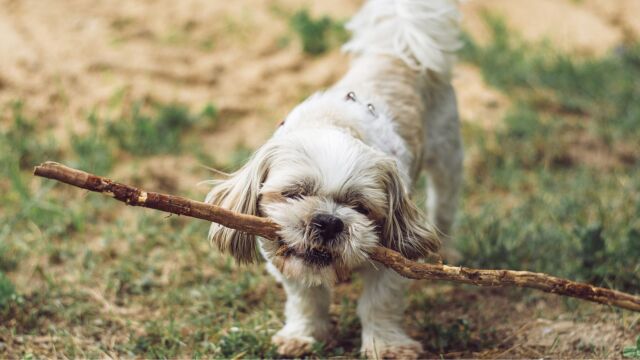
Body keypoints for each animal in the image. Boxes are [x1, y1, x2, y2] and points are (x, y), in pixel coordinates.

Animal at [208, 0, 462, 358]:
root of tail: (397, 52)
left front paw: (386, 345)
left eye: (361, 207)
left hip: (448, 158)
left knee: (445, 207)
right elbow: (306, 300)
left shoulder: (392, 257)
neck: (332, 122)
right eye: (294, 194)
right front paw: (303, 335)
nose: (329, 221)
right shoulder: (280, 256)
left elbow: (379, 304)